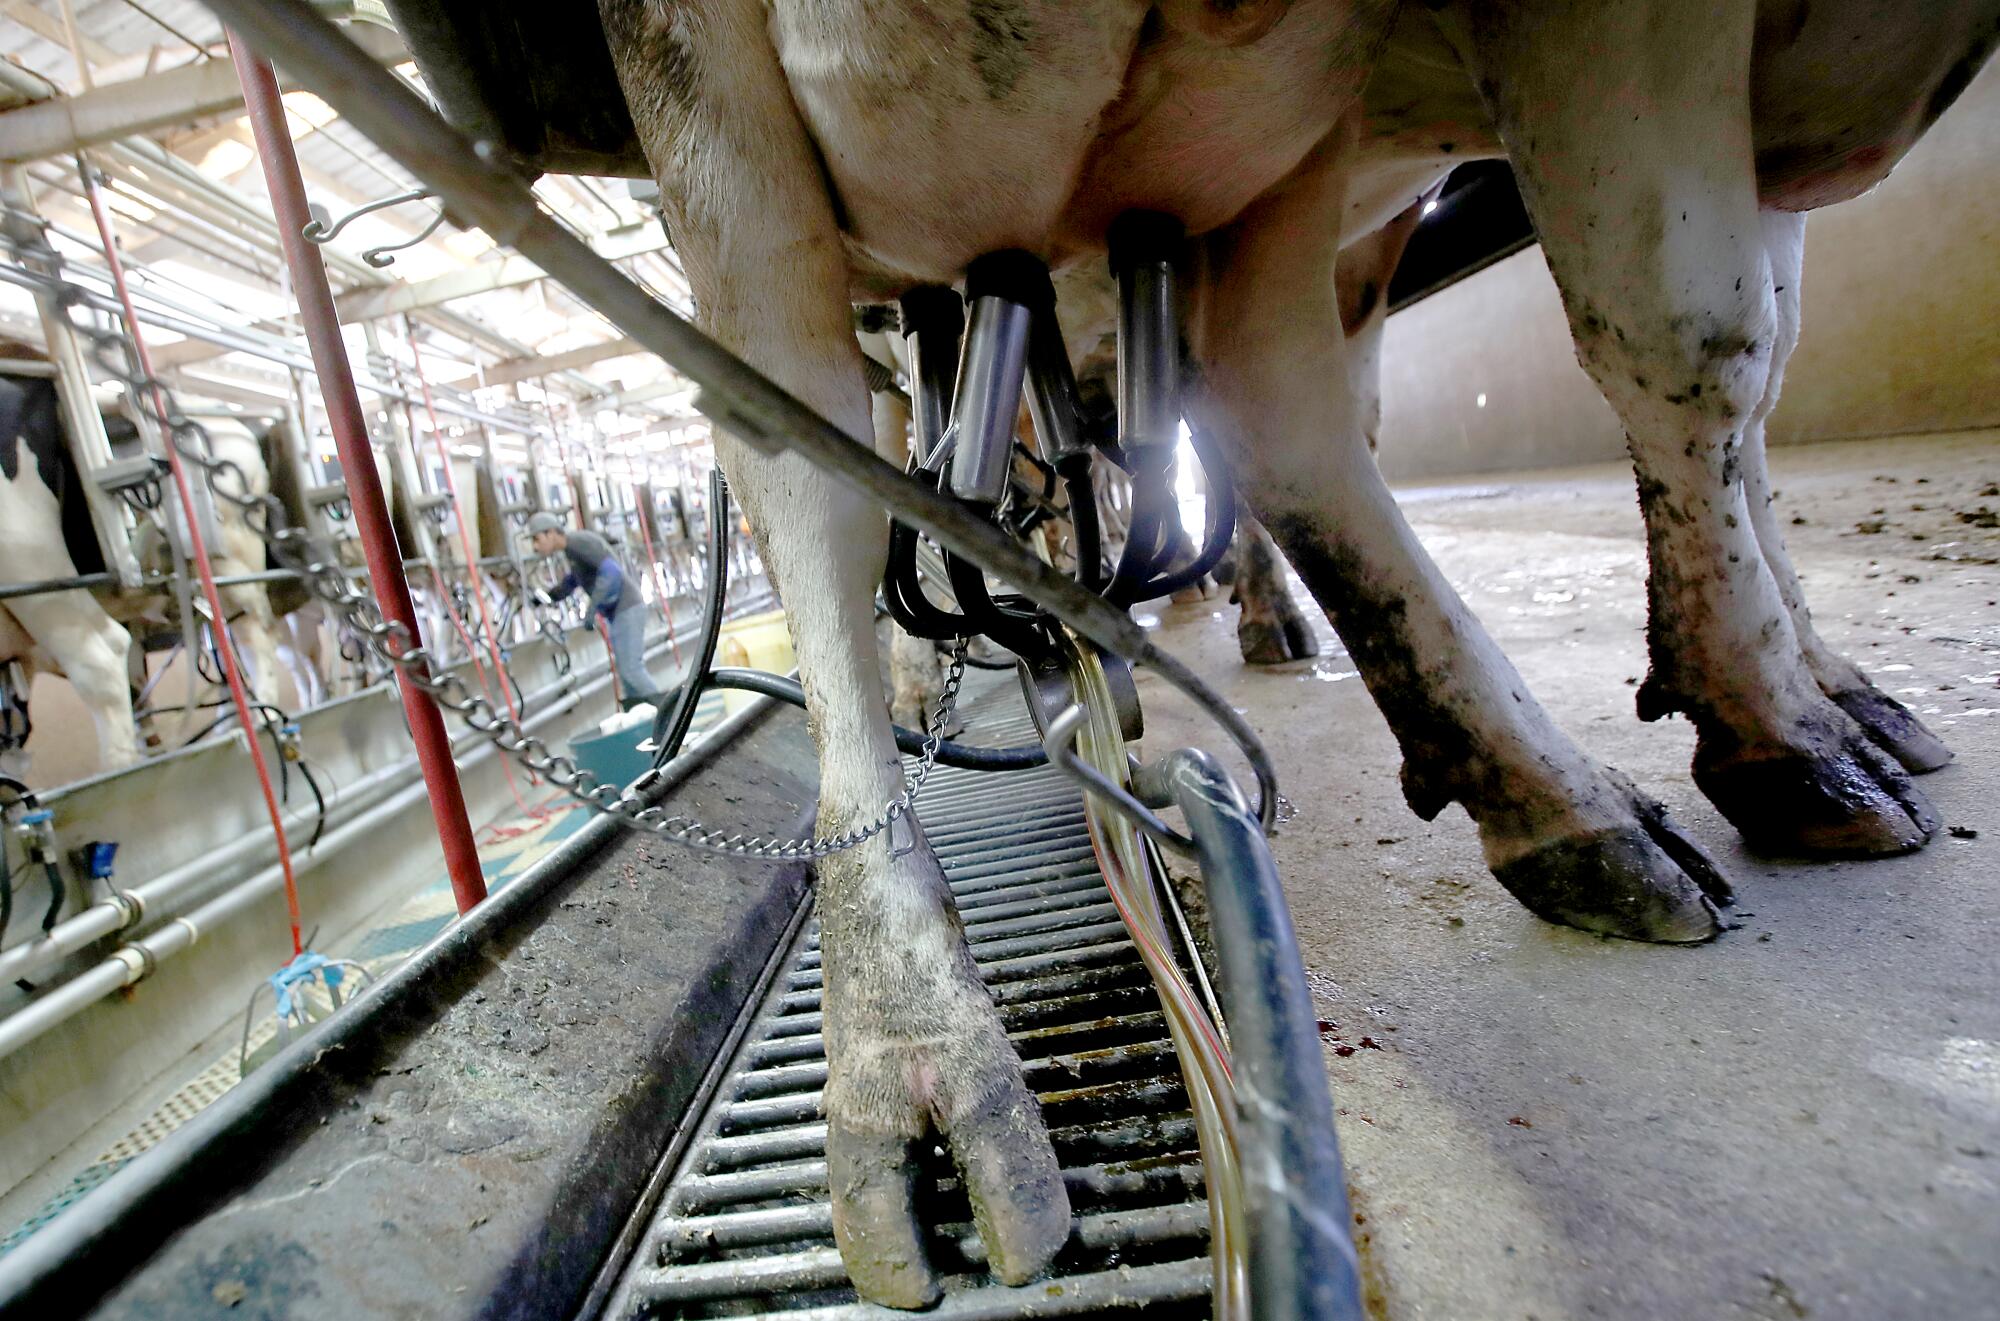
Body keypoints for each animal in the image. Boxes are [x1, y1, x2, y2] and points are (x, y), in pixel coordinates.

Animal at [576, 0, 1984, 1296]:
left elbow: (1744, 337)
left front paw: (1813, 703)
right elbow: (1683, 325)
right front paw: (1779, 738)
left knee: (1257, 402)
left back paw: (1526, 769)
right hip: (716, 110)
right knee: (809, 474)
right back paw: (917, 1056)